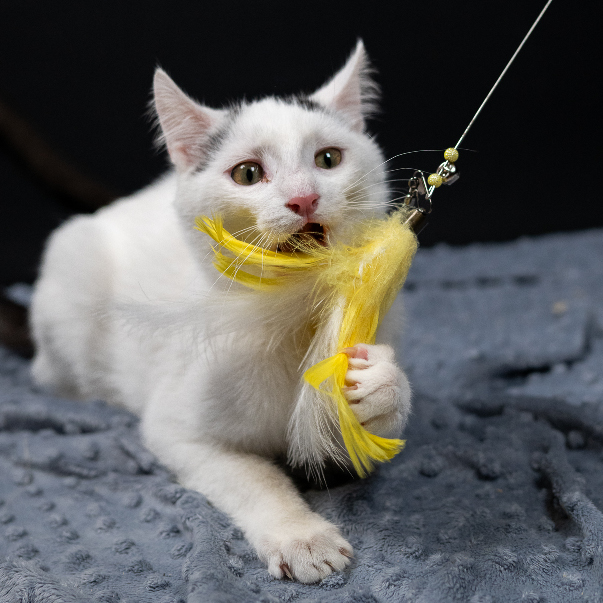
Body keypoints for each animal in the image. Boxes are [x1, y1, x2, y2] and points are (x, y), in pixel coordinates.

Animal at [29, 40, 412, 584]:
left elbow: (360, 444)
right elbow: (253, 477)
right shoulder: (178, 431)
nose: (304, 198)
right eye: (248, 173)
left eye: (328, 159)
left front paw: (378, 383)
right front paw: (303, 538)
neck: (294, 320)